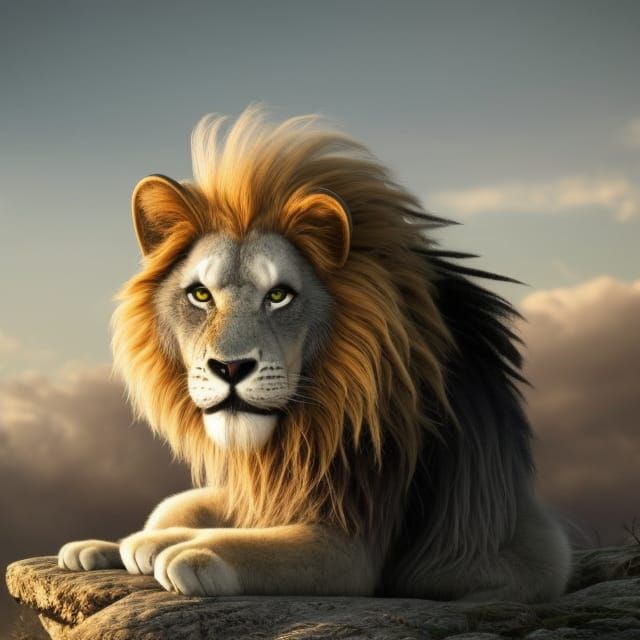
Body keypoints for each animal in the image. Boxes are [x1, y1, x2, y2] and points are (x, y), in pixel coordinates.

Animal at [58, 106, 571, 602]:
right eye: (201, 295)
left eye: (279, 296)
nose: (229, 368)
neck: (302, 430)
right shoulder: (270, 486)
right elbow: (180, 505)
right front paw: (105, 545)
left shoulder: (355, 544)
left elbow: (254, 547)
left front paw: (186, 551)